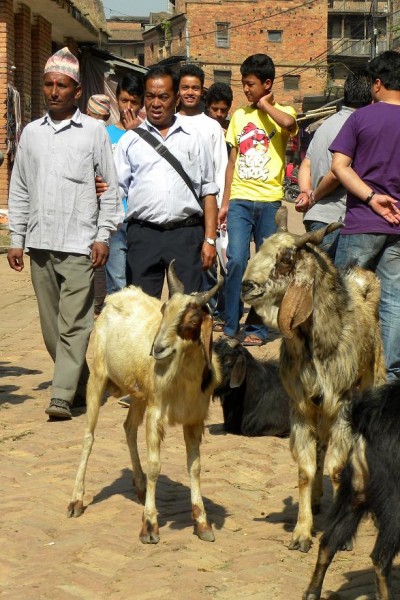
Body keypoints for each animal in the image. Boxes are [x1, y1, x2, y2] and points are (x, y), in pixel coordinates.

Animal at [68, 262, 222, 544]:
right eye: (164, 311)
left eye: (192, 320)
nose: (157, 349)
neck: (181, 378)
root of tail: (116, 297)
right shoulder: (155, 414)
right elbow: (155, 466)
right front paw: (150, 526)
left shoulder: (195, 420)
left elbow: (195, 467)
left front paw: (202, 523)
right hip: (97, 378)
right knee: (89, 437)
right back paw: (76, 501)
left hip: (138, 394)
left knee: (128, 428)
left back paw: (139, 487)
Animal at [239, 205, 386, 552]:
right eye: (260, 247)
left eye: (285, 259)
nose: (246, 286)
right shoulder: (303, 407)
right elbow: (306, 470)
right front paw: (302, 534)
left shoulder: (343, 404)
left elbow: (337, 468)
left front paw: (339, 533)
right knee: (320, 449)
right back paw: (318, 500)